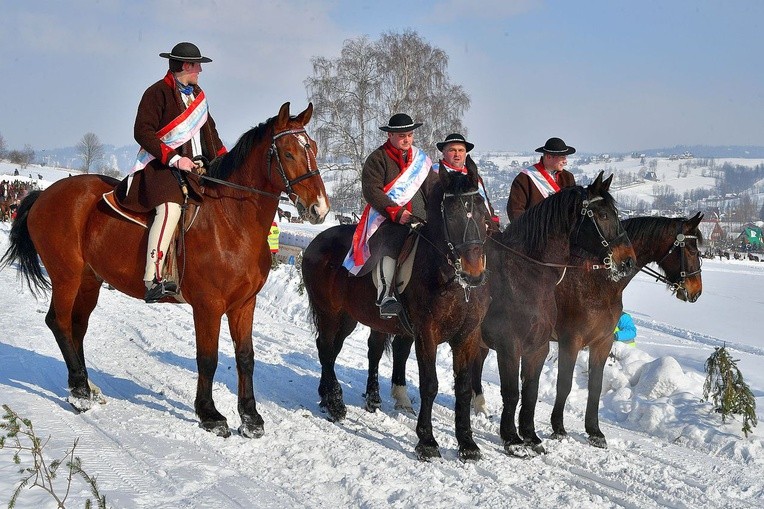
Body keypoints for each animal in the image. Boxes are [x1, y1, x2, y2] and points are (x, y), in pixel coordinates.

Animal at [0, 102, 328, 436]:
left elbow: (246, 357)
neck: (232, 220)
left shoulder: (244, 304)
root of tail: (45, 194)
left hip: (89, 280)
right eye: (288, 153)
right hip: (66, 275)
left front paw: (250, 418)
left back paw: (87, 386)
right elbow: (207, 358)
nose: (320, 208)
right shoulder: (208, 306)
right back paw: (79, 392)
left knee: (77, 326)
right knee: (60, 322)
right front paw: (210, 414)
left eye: (313, 148)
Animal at [302, 164, 492, 460]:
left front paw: (468, 444)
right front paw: (427, 441)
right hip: (329, 313)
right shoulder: (426, 334)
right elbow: (430, 384)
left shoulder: (467, 336)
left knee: (332, 351)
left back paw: (329, 397)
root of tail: (316, 242)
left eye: (483, 212)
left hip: (347, 317)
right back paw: (335, 404)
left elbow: (462, 386)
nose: (474, 274)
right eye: (450, 215)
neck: (452, 282)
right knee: (325, 349)